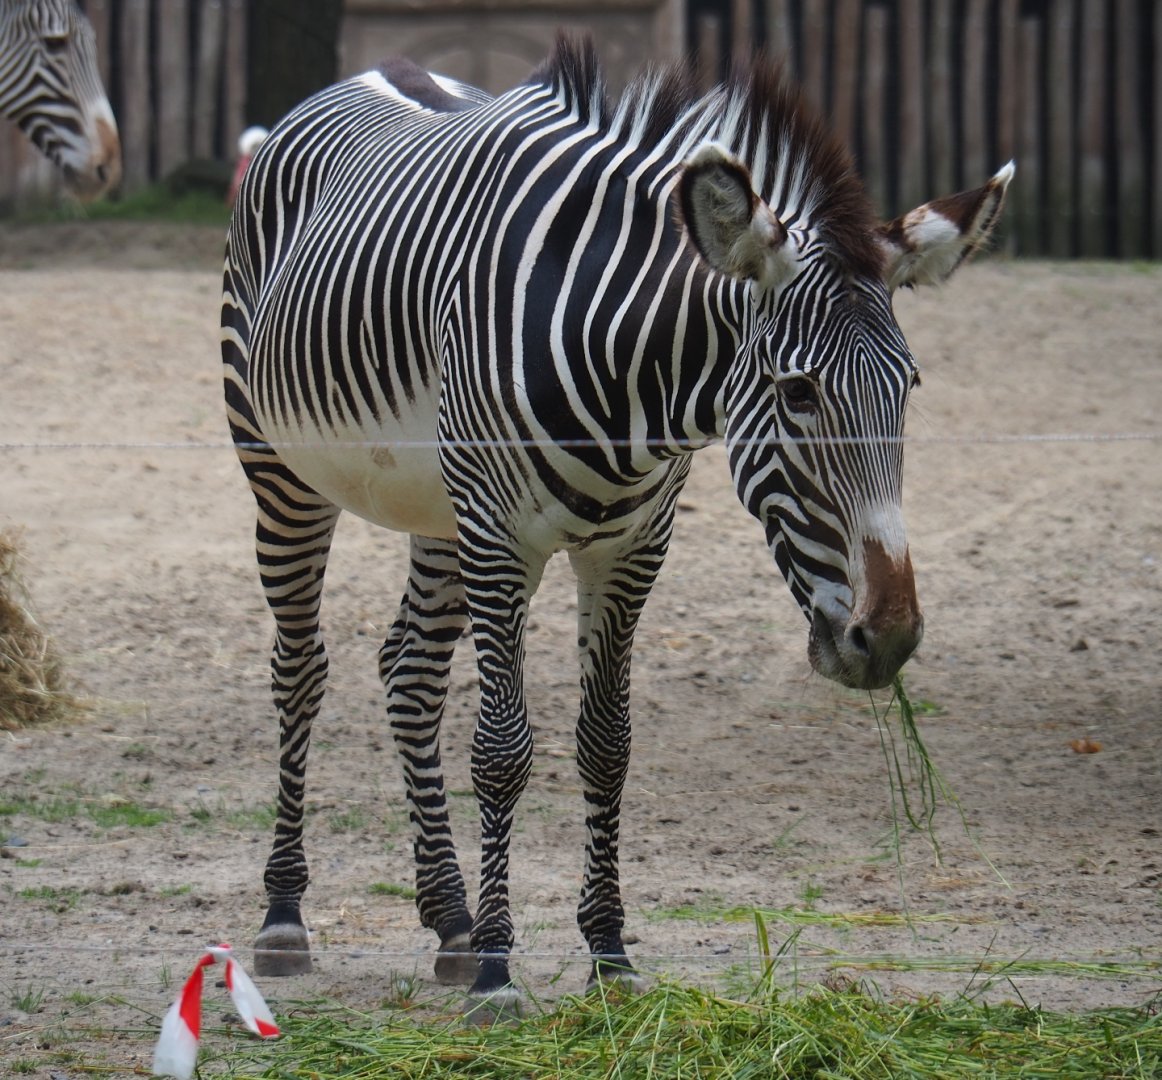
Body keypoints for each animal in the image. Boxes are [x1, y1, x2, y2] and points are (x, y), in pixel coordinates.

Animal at [221, 36, 1012, 1015]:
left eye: (908, 387)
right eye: (798, 393)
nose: (892, 637)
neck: (629, 376)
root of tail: (377, 71)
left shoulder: (633, 549)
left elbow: (607, 745)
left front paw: (607, 956)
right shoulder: (500, 539)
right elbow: (503, 748)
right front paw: (500, 972)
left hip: (436, 504)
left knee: (408, 674)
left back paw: (450, 919)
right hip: (277, 465)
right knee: (300, 672)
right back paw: (287, 915)